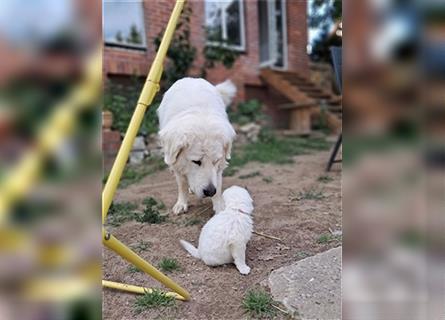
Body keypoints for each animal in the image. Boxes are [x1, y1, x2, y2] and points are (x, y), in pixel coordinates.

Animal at [158, 77, 238, 215]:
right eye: (196, 161)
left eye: (215, 161)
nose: (210, 191)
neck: (200, 116)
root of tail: (192, 78)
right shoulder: (176, 163)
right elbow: (182, 185)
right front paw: (182, 203)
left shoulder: (219, 166)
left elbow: (218, 183)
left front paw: (219, 206)